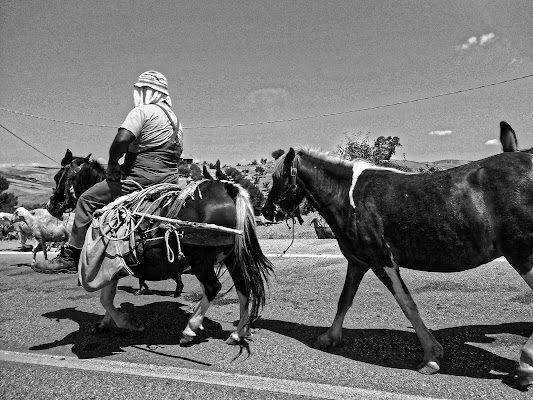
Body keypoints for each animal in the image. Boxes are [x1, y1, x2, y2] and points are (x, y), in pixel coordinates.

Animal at [48, 150, 274, 344]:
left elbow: (106, 298)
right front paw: (105, 323)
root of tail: (228, 189)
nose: (52, 205)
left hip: (200, 260)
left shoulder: (108, 261)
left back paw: (190, 329)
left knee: (213, 287)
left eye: (57, 176)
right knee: (243, 288)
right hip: (232, 258)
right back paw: (238, 333)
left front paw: (127, 322)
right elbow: (108, 297)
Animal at [262, 145, 532, 390]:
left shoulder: (382, 261)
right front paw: (329, 337)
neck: (348, 196)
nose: (265, 212)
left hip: (521, 255)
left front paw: (431, 357)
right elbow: (345, 300)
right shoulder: (358, 263)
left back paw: (525, 366)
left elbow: (407, 304)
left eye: (276, 178)